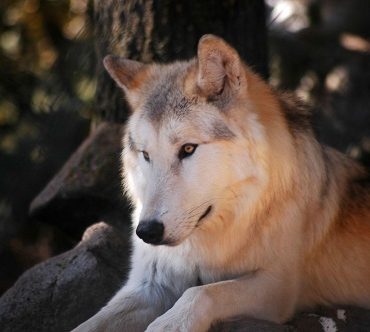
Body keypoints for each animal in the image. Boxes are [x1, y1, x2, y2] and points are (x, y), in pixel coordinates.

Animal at [71, 35, 368, 330]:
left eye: (188, 149)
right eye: (146, 155)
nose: (147, 231)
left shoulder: (277, 285)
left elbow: (202, 292)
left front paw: (169, 324)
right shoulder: (147, 284)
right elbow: (89, 323)